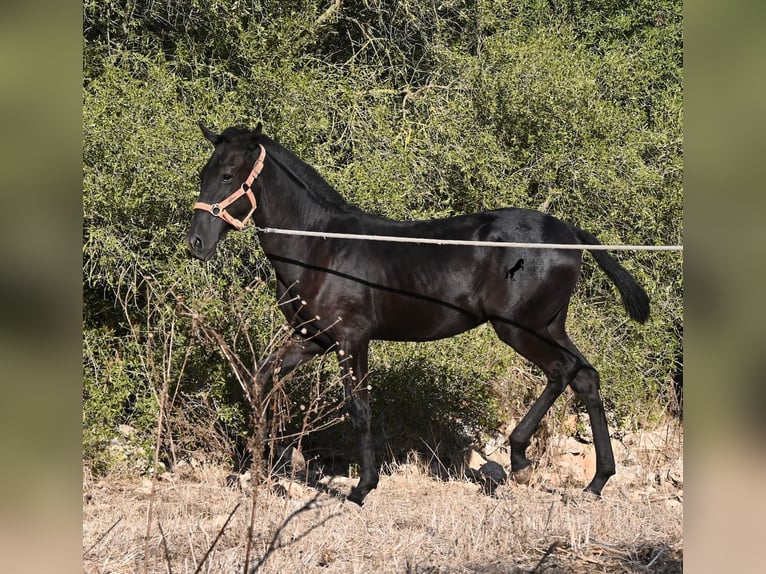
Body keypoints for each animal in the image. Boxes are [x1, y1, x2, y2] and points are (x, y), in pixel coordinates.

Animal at [187, 122, 649, 506]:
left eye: (228, 175)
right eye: (204, 174)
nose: (196, 243)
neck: (320, 247)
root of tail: (569, 233)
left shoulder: (351, 339)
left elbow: (359, 409)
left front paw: (361, 488)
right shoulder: (313, 339)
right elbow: (261, 379)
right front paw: (270, 465)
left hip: (520, 328)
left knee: (562, 371)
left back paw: (519, 458)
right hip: (549, 325)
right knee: (586, 378)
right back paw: (596, 482)